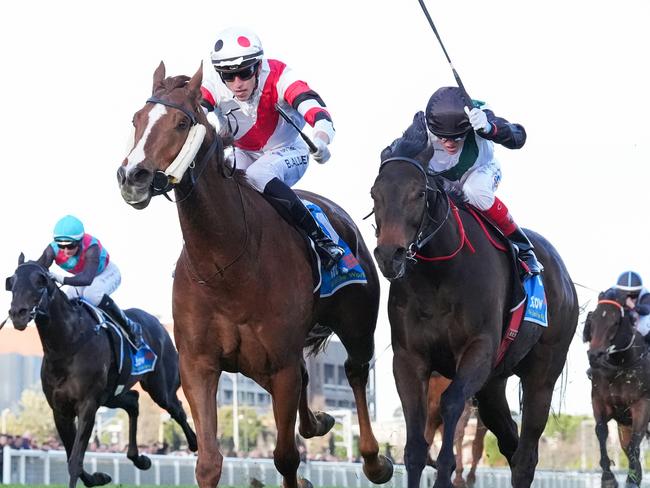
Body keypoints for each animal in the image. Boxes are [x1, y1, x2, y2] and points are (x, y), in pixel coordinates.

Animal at [5, 255, 196, 488]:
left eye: (41, 281)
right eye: (11, 282)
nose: (18, 314)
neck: (68, 344)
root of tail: (159, 325)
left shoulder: (88, 405)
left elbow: (75, 460)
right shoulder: (61, 410)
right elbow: (72, 456)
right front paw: (99, 477)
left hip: (160, 388)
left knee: (177, 409)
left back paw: (196, 445)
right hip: (110, 394)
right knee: (133, 401)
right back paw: (140, 459)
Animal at [114, 62, 392, 488]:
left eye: (181, 122)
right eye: (137, 119)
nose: (133, 177)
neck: (225, 265)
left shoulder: (279, 364)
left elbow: (286, 457)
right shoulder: (199, 363)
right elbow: (209, 461)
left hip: (356, 324)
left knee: (356, 372)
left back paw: (375, 460)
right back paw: (319, 421)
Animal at [370, 147, 576, 486]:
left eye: (419, 193)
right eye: (375, 194)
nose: (390, 255)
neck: (437, 277)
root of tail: (563, 275)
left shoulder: (477, 350)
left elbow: (451, 403)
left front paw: (446, 471)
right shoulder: (408, 358)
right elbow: (415, 445)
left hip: (542, 373)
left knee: (526, 455)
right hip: (492, 385)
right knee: (510, 442)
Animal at [580, 290, 648, 488]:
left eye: (615, 322)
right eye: (592, 319)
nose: (595, 355)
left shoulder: (642, 404)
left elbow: (634, 444)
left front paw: (631, 480)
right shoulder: (601, 402)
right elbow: (601, 432)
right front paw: (608, 478)